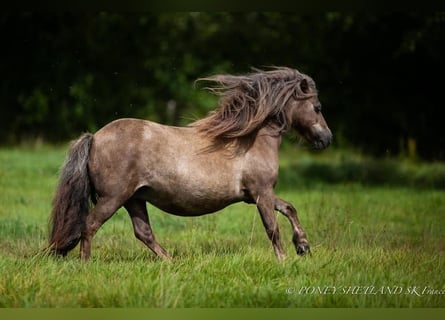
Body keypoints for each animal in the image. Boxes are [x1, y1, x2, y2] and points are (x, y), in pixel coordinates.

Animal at [49, 67, 330, 260]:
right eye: (317, 107)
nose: (327, 138)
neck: (251, 140)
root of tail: (95, 137)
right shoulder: (261, 192)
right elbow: (272, 227)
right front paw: (283, 259)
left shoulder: (256, 194)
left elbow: (289, 208)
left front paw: (303, 246)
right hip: (113, 198)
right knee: (90, 225)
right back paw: (86, 264)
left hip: (134, 199)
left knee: (143, 233)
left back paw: (171, 262)